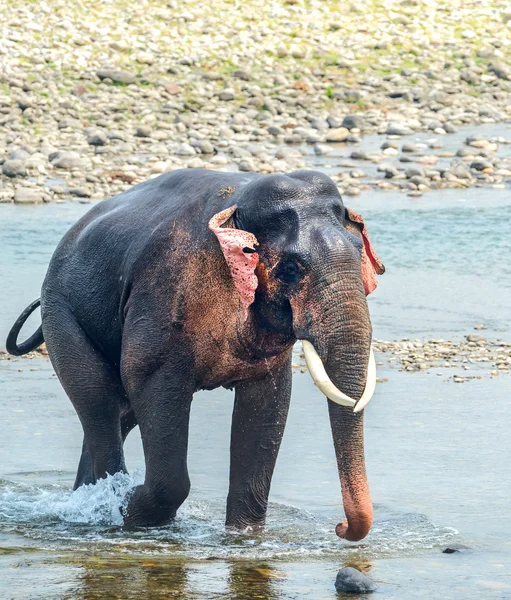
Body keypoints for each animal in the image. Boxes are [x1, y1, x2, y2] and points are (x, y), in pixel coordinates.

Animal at [7, 170, 384, 544]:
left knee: (119, 414)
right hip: (60, 312)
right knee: (99, 403)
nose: (340, 527)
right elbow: (148, 378)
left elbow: (268, 403)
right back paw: (107, 506)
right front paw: (132, 509)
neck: (238, 205)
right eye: (291, 268)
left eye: (359, 256)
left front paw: (243, 537)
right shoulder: (163, 294)